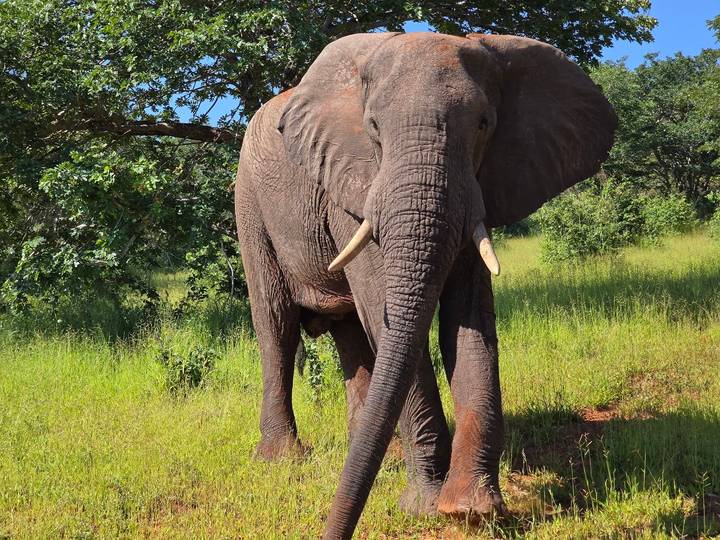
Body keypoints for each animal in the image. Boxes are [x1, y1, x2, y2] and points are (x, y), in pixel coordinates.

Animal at [234, 31, 616, 538]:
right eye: (373, 127)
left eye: (483, 124)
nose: (333, 528)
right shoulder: (353, 187)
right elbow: (388, 317)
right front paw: (423, 507)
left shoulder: (476, 189)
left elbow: (468, 322)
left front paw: (471, 509)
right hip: (249, 204)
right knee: (277, 326)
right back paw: (282, 460)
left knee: (350, 333)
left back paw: (382, 458)